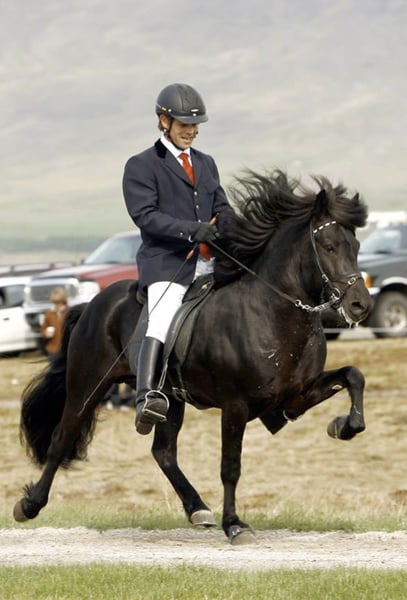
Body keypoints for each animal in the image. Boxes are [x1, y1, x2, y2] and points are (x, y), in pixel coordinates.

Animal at [14, 170, 373, 545]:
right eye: (328, 246)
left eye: (356, 247)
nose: (360, 306)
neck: (272, 312)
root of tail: (91, 305)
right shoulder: (235, 405)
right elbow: (230, 467)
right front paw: (235, 525)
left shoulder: (296, 396)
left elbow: (353, 375)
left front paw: (344, 426)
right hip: (88, 386)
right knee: (61, 438)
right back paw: (29, 505)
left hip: (168, 399)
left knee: (163, 452)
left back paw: (197, 508)